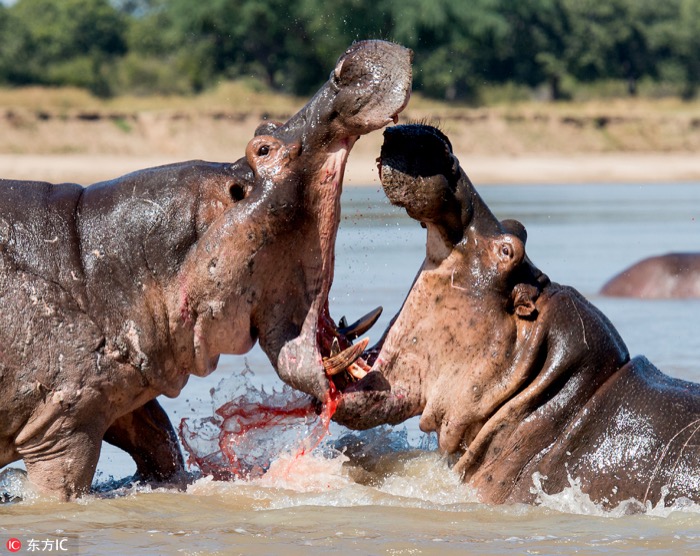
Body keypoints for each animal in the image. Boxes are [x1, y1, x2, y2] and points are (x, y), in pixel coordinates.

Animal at [0, 39, 412, 500]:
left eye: (264, 125)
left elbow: (161, 444)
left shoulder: (119, 395)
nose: (344, 68)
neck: (91, 259)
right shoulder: (62, 428)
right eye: (263, 149)